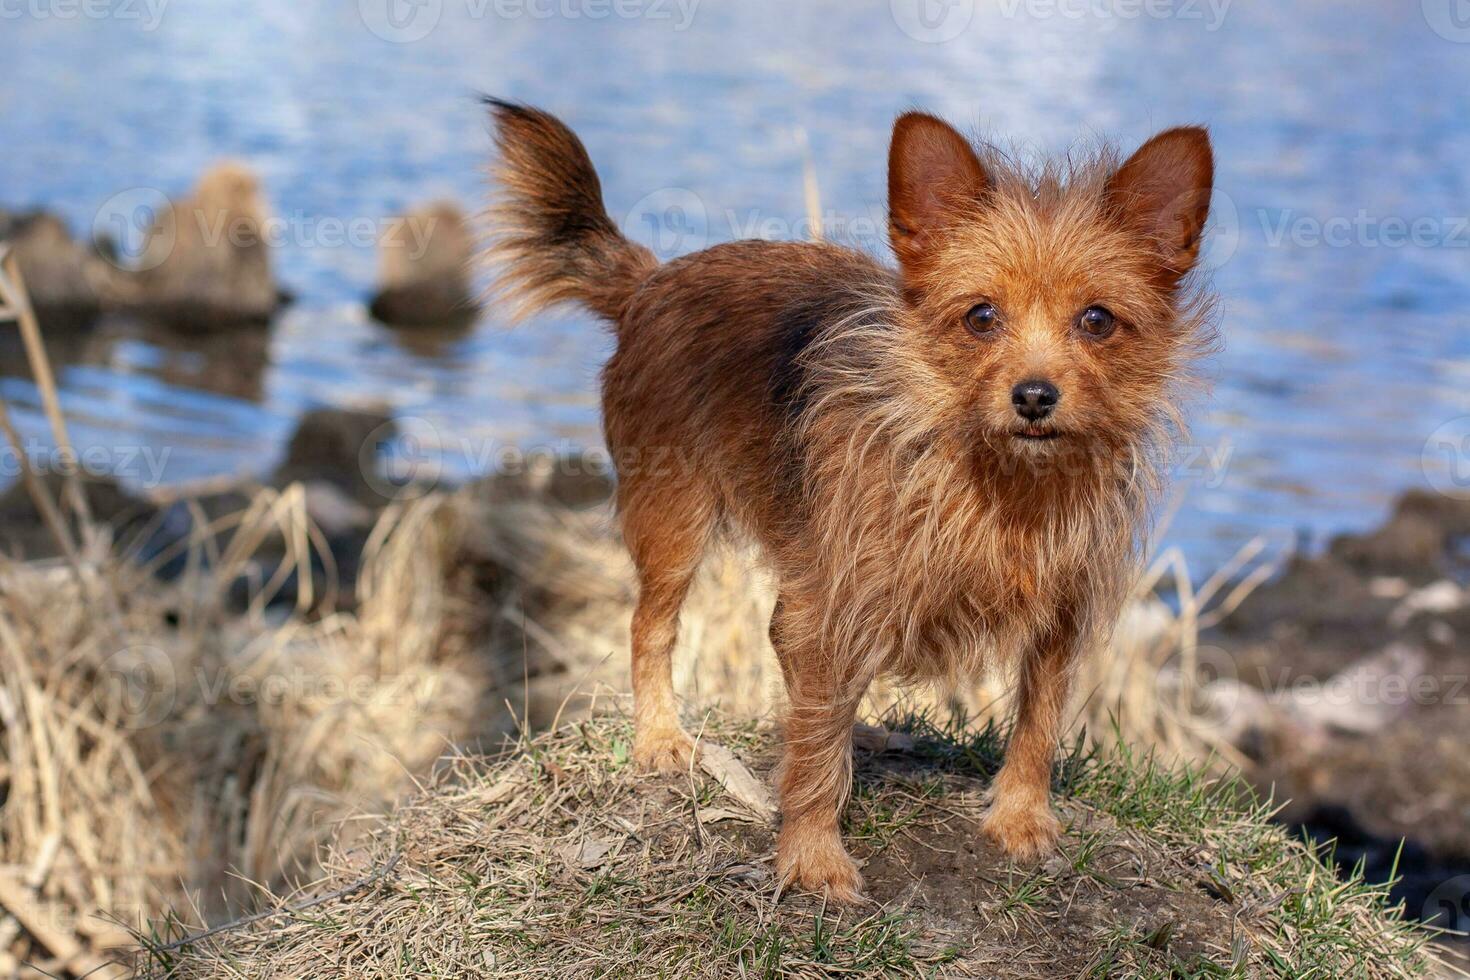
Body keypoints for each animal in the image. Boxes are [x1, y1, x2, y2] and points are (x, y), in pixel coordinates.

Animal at [482, 101, 1217, 905]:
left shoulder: (1061, 610)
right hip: (673, 520)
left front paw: (1020, 816)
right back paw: (661, 738)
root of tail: (652, 281)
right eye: (981, 317)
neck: (993, 481)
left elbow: (1040, 717)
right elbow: (812, 744)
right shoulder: (826, 605)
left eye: (1097, 321)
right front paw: (811, 855)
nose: (1034, 396)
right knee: (652, 626)